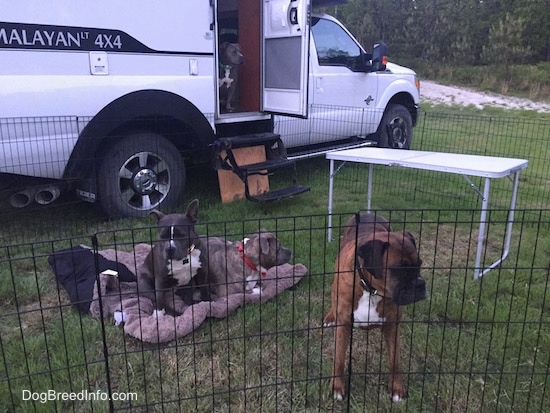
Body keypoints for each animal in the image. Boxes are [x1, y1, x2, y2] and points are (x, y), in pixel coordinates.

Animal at [326, 214, 430, 400]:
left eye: (419, 264)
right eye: (398, 269)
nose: (420, 283)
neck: (370, 289)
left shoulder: (392, 325)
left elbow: (395, 360)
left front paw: (396, 387)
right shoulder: (343, 324)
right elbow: (338, 358)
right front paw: (337, 387)